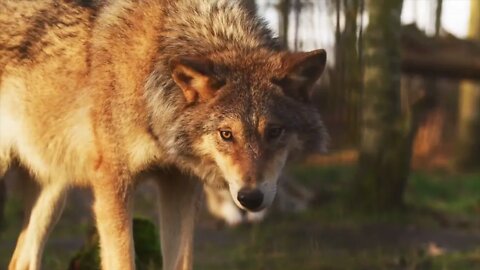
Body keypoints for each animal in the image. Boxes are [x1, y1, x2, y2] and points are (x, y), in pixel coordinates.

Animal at [0, 0, 326, 270]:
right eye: (226, 134)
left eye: (274, 132)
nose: (251, 197)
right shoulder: (113, 184)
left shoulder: (180, 184)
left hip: (53, 193)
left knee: (21, 261)